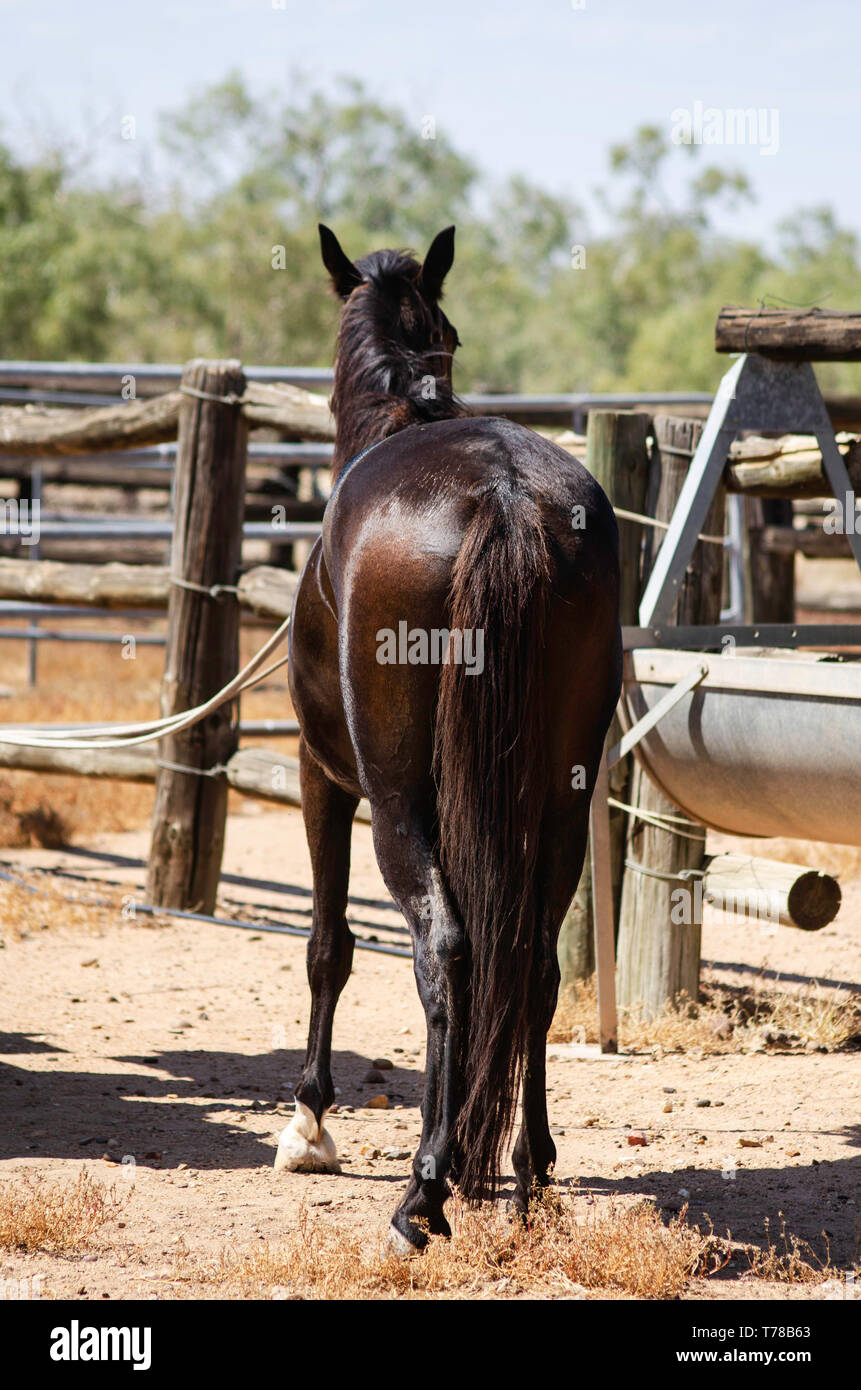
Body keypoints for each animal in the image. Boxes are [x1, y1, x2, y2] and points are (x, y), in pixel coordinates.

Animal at [276, 219, 620, 1251]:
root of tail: (503, 497)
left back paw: (421, 1193)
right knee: (532, 962)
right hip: (558, 801)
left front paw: (309, 1122)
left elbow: (329, 944)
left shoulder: (321, 775)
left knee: (447, 949)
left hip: (395, 801)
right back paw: (527, 1168)